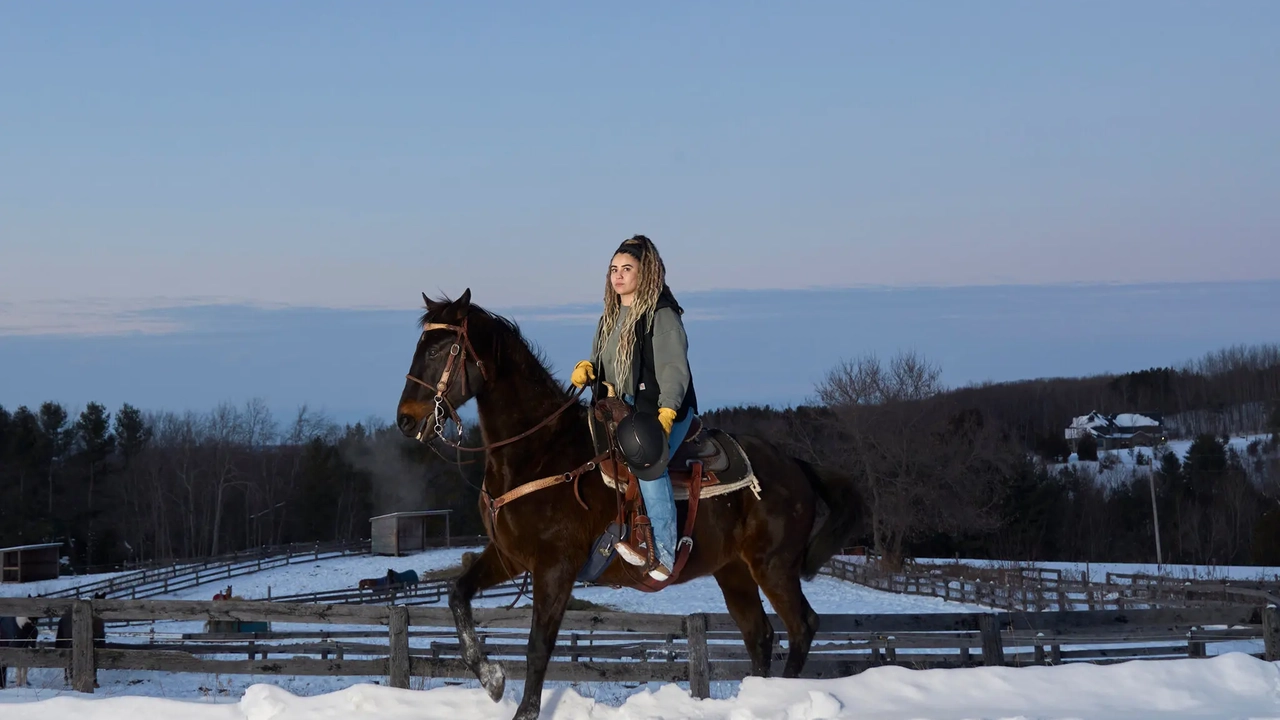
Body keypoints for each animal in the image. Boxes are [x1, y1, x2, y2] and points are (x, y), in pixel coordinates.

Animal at [396, 286, 860, 717]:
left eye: (437, 349)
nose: (405, 419)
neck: (539, 452)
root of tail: (794, 464)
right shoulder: (510, 556)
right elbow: (458, 595)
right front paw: (491, 677)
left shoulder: (555, 568)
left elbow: (538, 647)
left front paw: (523, 709)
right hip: (733, 572)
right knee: (759, 635)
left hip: (774, 566)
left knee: (801, 627)